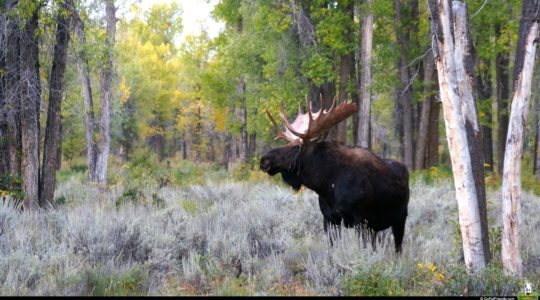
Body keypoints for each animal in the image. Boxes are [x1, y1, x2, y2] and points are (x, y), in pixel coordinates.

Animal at [258, 98, 410, 251]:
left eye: (296, 147)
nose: (264, 160)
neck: (326, 185)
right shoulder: (329, 219)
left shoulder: (360, 220)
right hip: (375, 228)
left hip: (400, 219)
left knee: (398, 249)